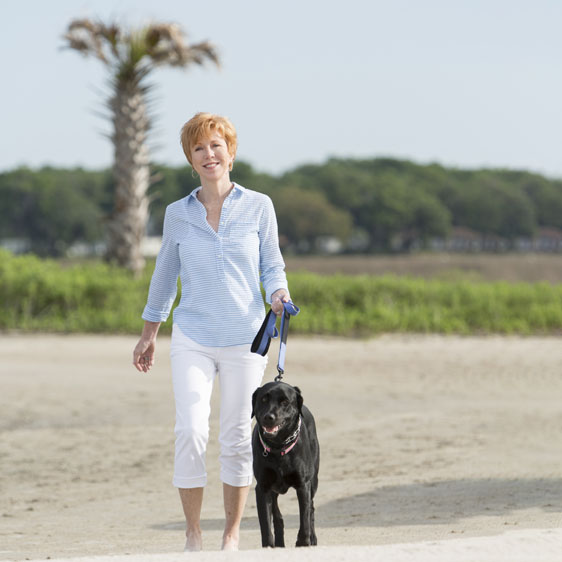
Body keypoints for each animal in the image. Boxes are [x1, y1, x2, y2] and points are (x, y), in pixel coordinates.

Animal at [250, 378, 320, 544]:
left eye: (285, 402)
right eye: (263, 399)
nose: (269, 417)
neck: (278, 447)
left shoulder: (303, 485)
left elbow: (304, 520)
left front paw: (303, 543)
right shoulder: (263, 488)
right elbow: (266, 526)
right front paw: (269, 546)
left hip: (313, 481)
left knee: (311, 509)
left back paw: (313, 538)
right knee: (278, 517)